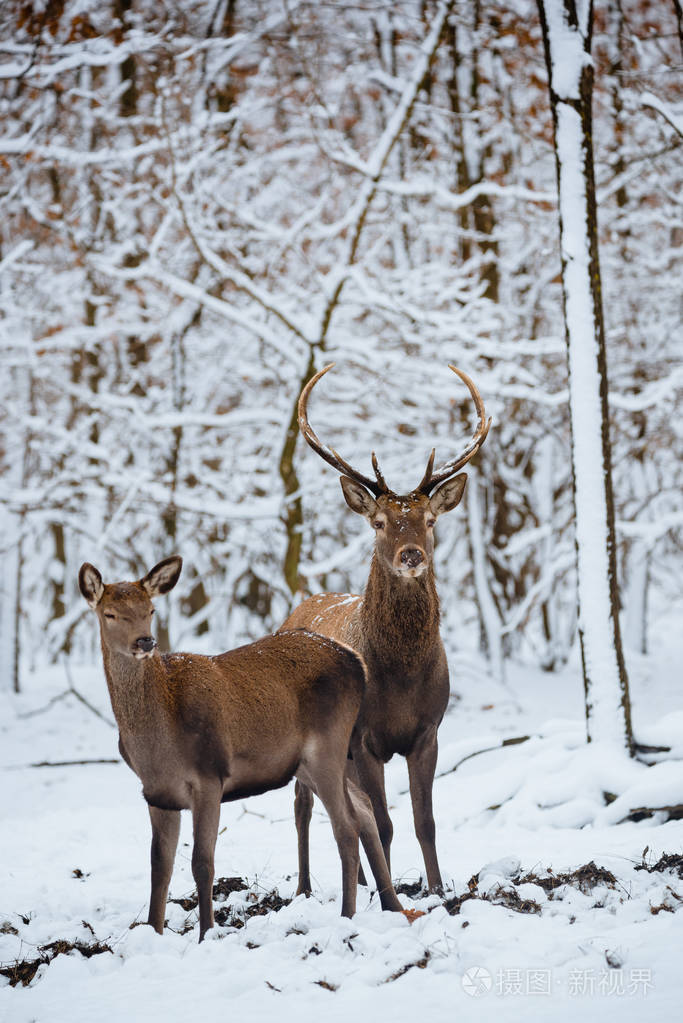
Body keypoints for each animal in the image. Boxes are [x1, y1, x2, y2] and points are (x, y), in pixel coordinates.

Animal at [78, 555, 406, 942]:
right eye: (110, 613)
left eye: (151, 609)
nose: (146, 641)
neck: (158, 741)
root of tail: (357, 662)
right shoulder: (158, 793)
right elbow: (159, 867)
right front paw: (153, 933)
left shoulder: (209, 776)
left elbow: (202, 863)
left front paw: (206, 934)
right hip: (311, 761)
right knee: (365, 809)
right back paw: (392, 906)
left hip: (327, 746)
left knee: (347, 827)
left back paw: (348, 916)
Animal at [281, 364, 490, 895]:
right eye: (378, 522)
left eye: (430, 519)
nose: (410, 554)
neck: (401, 676)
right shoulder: (364, 739)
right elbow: (385, 822)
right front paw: (387, 892)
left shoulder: (428, 731)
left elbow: (423, 821)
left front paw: (436, 890)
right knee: (302, 806)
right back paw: (306, 887)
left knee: (343, 812)